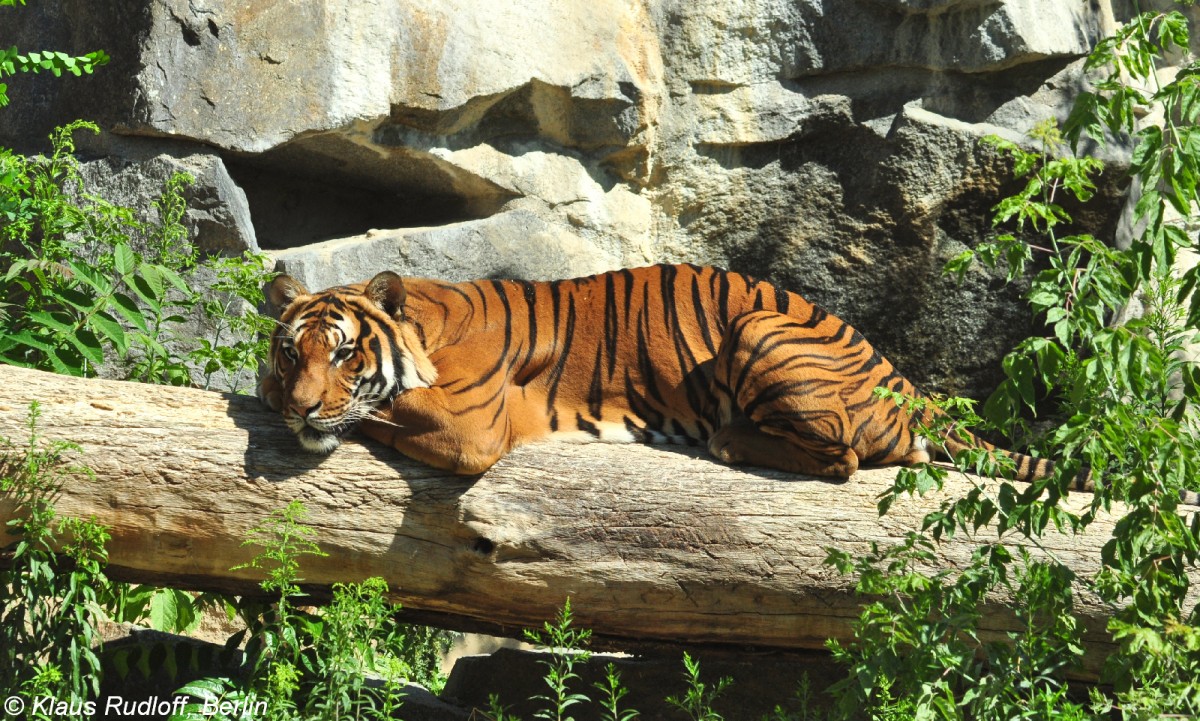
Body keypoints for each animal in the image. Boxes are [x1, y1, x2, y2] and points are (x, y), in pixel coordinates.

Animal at [258, 259, 1094, 489]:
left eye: (345, 353)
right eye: (291, 351)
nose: (301, 409)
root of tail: (909, 383)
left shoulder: (470, 426)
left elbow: (380, 413)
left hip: (759, 327)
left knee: (845, 455)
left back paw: (729, 438)